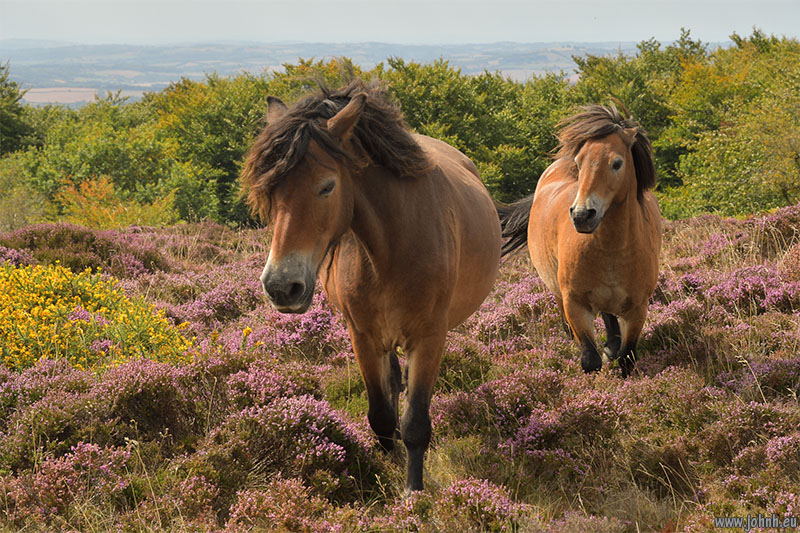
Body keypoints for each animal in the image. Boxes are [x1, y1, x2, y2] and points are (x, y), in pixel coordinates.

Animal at [241, 79, 501, 492]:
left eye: (327, 186)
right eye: (269, 189)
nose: (281, 286)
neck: (392, 249)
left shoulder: (429, 337)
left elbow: (415, 423)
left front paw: (413, 491)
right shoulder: (362, 335)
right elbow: (380, 415)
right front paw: (387, 468)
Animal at [499, 104, 661, 377]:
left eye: (617, 163)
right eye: (579, 162)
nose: (582, 215)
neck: (613, 249)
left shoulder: (638, 309)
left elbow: (627, 359)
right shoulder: (575, 304)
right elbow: (590, 360)